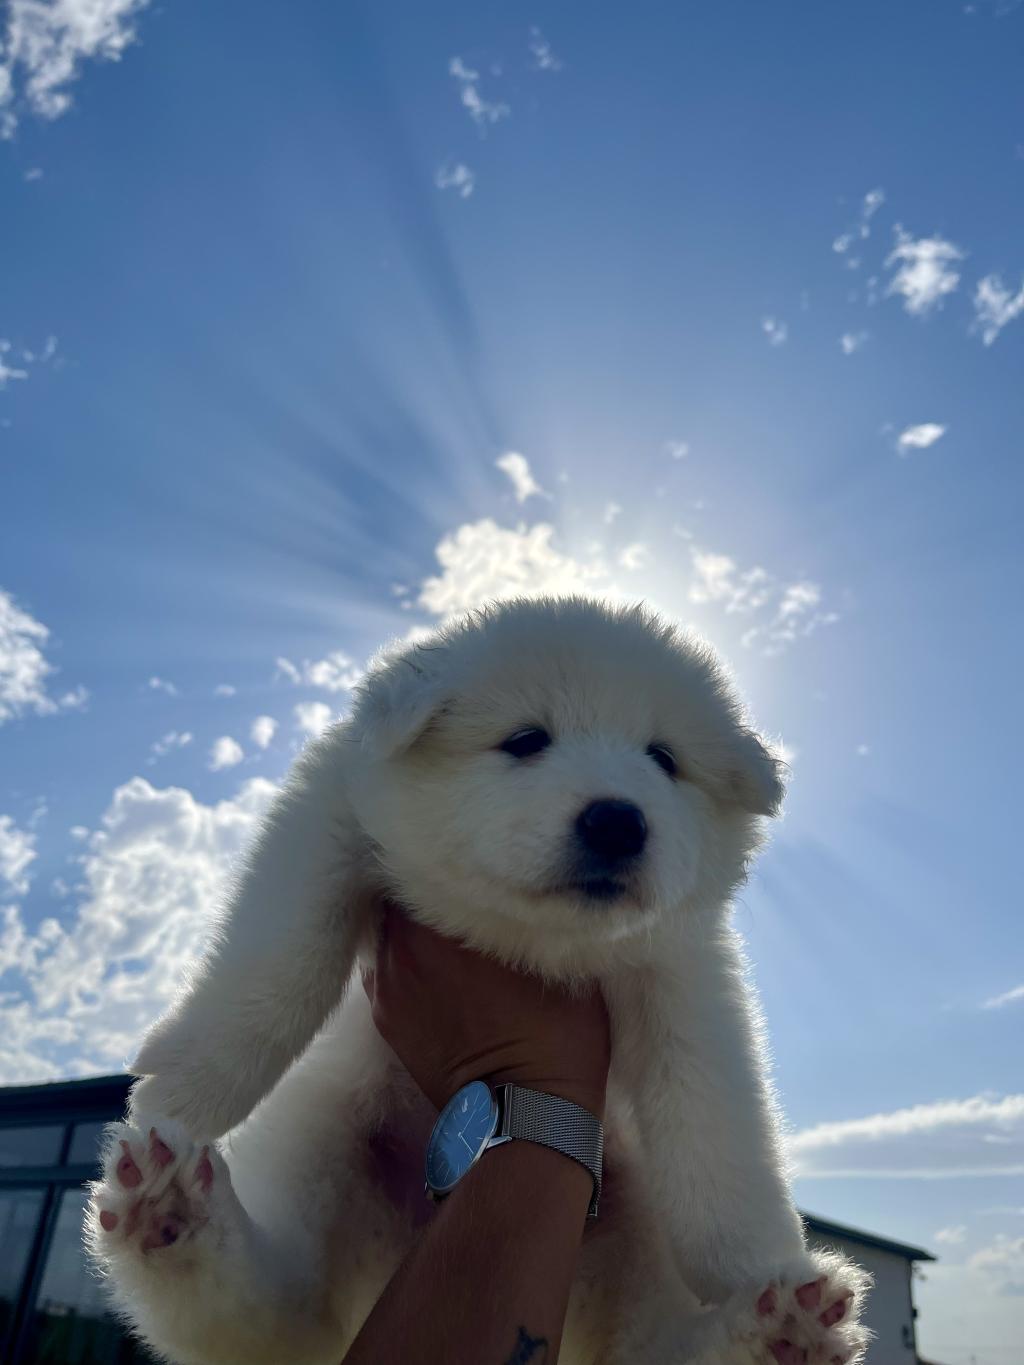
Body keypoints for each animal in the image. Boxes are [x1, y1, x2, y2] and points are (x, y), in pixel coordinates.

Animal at [87, 596, 870, 1364]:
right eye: (526, 740)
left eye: (664, 759)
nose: (619, 821)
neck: (531, 941)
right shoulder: (330, 816)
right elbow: (282, 953)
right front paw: (188, 1086)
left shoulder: (682, 968)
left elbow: (713, 1110)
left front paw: (754, 1260)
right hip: (320, 1148)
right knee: (270, 1316)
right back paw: (171, 1212)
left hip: (631, 1220)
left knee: (647, 1346)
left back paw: (778, 1330)